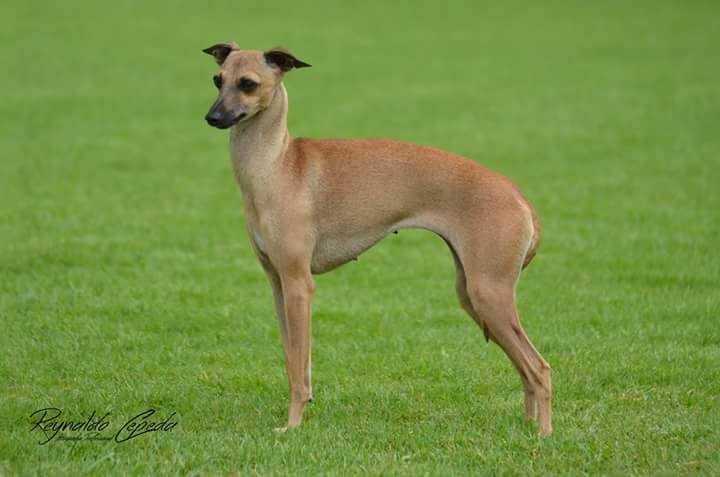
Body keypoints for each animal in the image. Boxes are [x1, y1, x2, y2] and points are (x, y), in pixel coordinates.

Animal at [205, 43, 556, 436]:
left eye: (248, 83)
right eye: (217, 79)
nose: (213, 117)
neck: (277, 165)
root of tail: (517, 194)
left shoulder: (299, 284)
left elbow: (297, 369)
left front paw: (292, 426)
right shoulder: (278, 285)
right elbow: (295, 362)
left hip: (489, 294)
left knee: (540, 368)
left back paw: (543, 435)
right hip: (473, 294)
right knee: (526, 369)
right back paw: (527, 426)